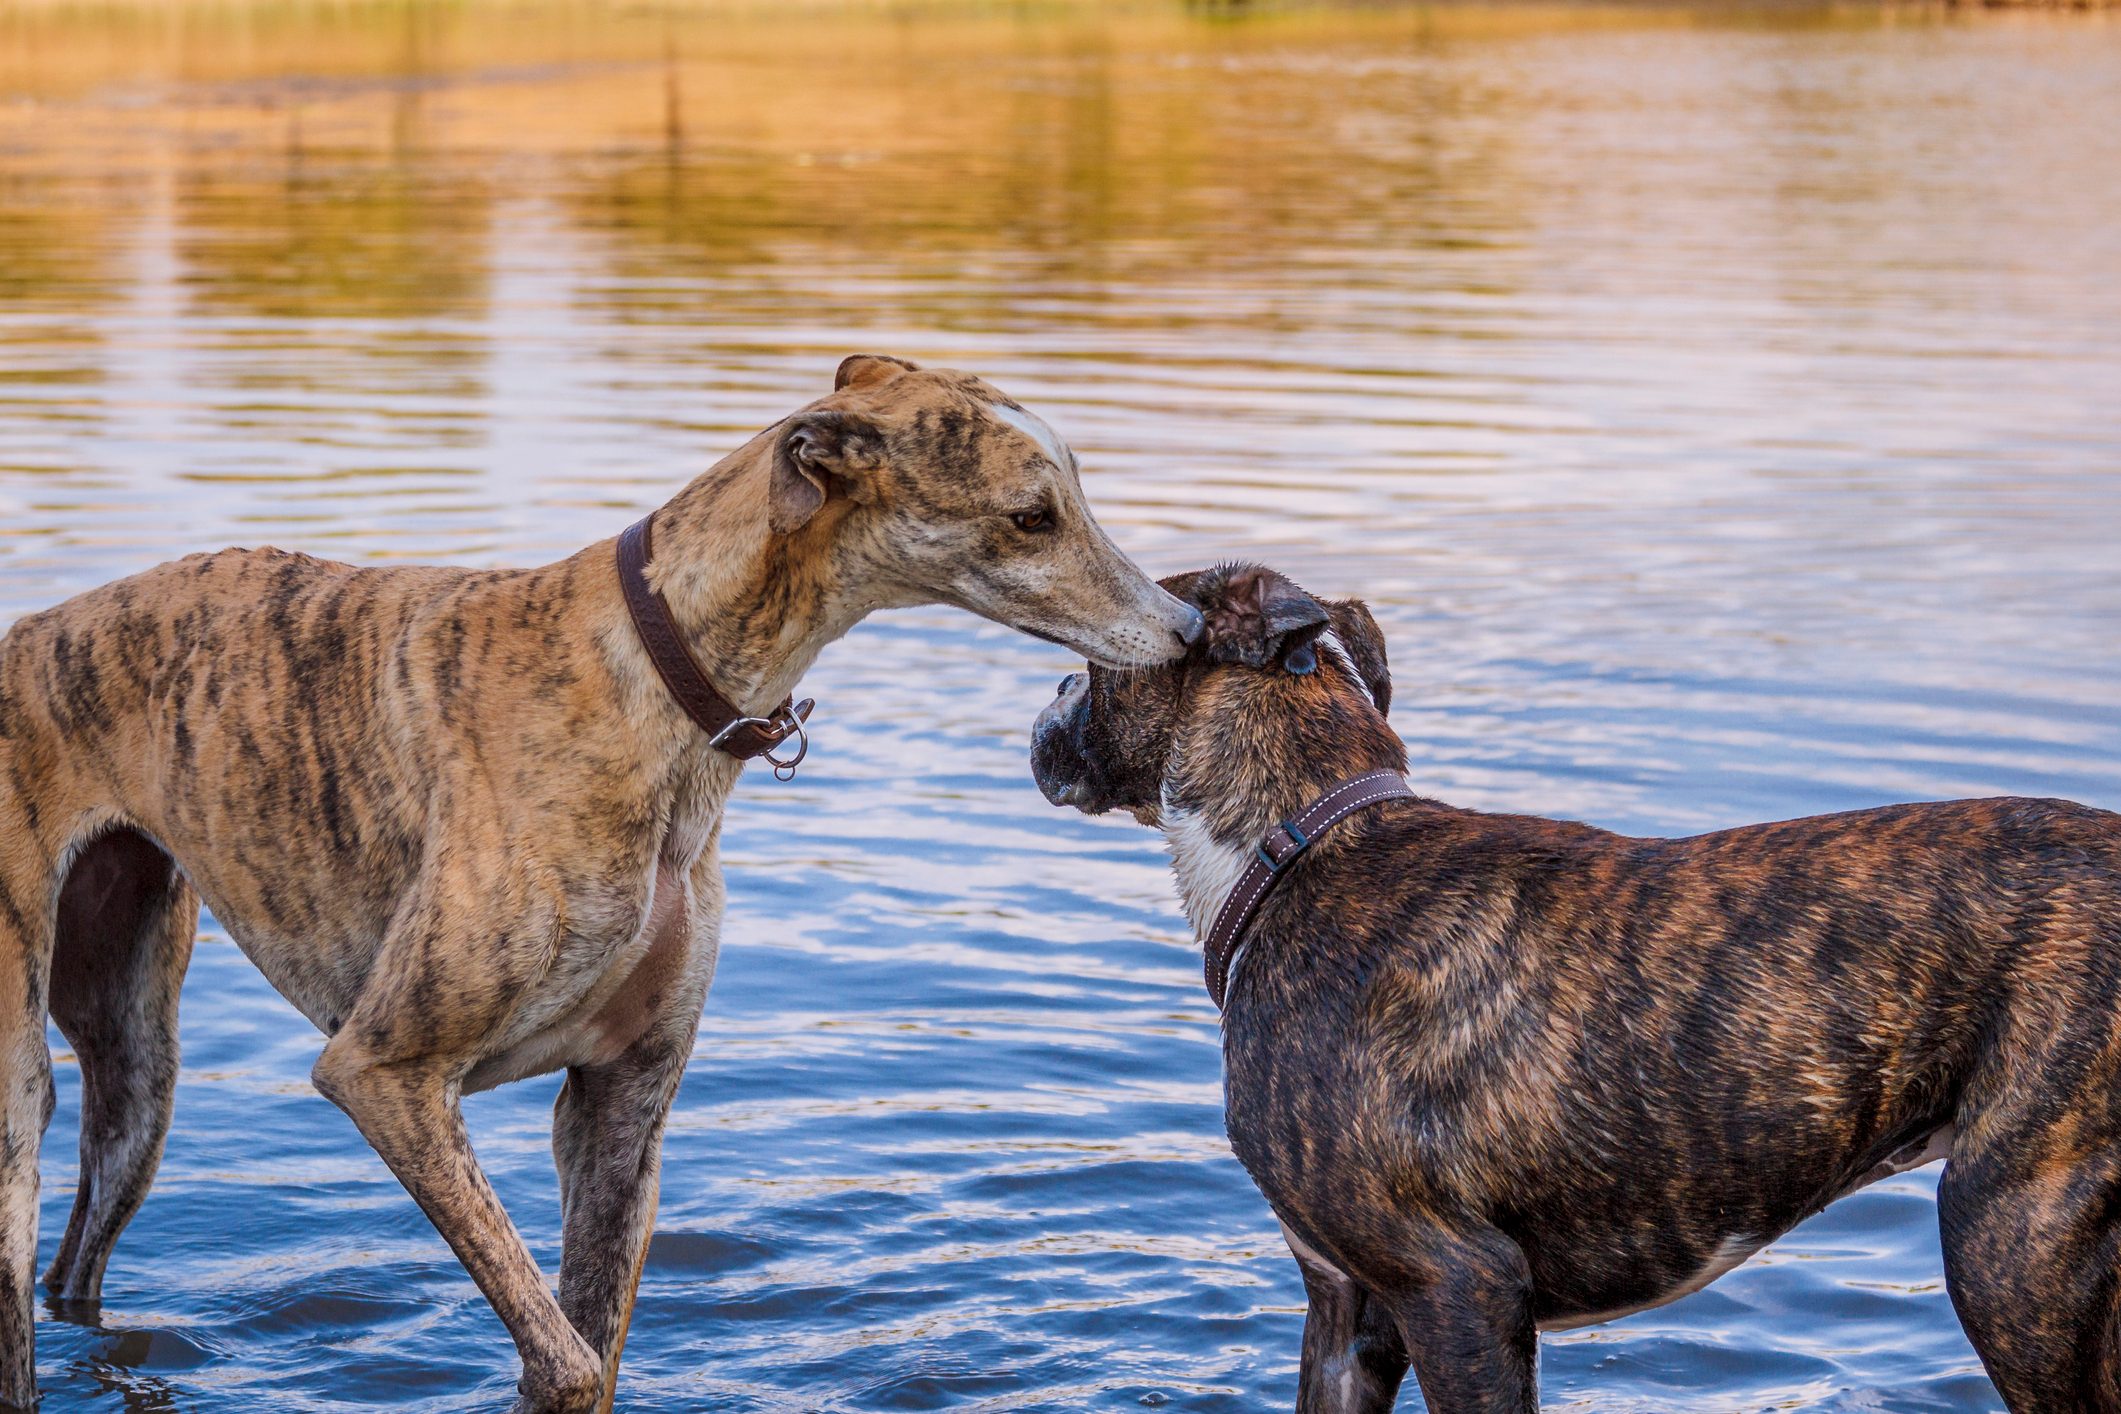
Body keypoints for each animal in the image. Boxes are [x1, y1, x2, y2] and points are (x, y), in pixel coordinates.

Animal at [0, 356, 1204, 1414]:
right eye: (1032, 515)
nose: (1191, 630)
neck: (654, 671)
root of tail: (30, 633)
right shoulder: (386, 1071)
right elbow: (567, 1361)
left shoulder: (623, 1103)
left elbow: (594, 1343)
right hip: (20, 1090)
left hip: (139, 1069)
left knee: (78, 1253)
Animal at [1035, 563, 2121, 1414]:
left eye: (1095, 654)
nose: (1045, 702)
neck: (1302, 841)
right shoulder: (1347, 1314)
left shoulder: (1457, 1285)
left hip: (2011, 1246)